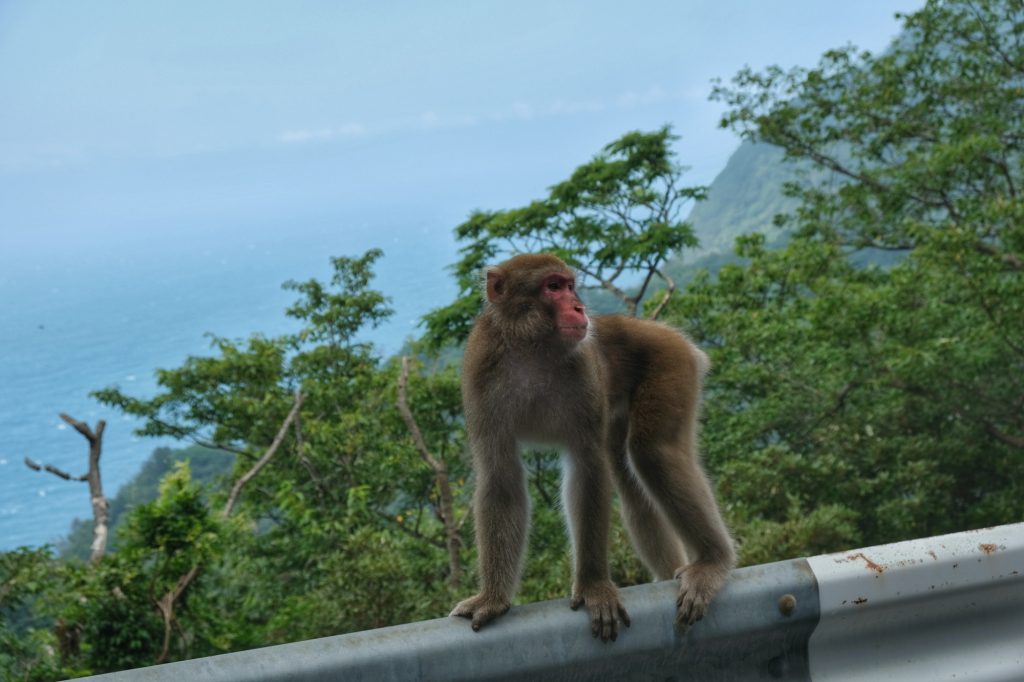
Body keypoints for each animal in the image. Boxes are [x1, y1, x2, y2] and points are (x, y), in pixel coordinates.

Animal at [450, 253, 735, 642]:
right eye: (553, 287)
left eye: (570, 285)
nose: (579, 307)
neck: (531, 348)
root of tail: (664, 333)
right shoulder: (481, 371)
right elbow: (500, 476)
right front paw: (492, 599)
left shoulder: (584, 370)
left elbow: (588, 468)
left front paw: (594, 587)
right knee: (630, 481)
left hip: (670, 363)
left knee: (652, 452)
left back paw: (713, 562)